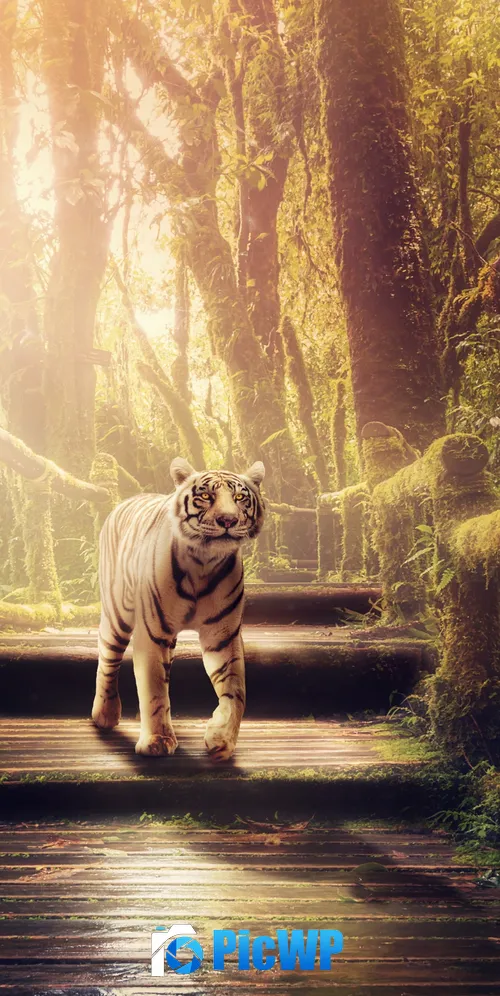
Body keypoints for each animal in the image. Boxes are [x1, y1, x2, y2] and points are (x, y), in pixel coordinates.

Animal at [91, 457, 265, 761]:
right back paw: (105, 714)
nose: (228, 520)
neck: (205, 562)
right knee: (107, 659)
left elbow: (236, 691)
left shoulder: (224, 636)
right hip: (117, 616)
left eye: (239, 498)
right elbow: (154, 688)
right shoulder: (153, 632)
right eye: (206, 496)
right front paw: (157, 741)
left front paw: (221, 739)